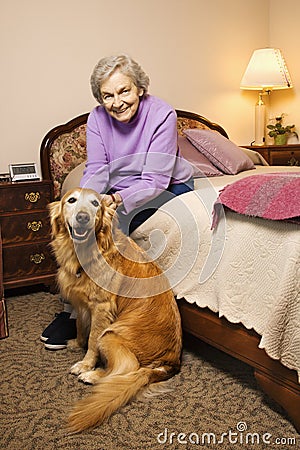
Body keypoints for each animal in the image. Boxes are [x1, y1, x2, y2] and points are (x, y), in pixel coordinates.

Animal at [48, 187, 182, 432]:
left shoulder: (102, 309)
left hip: (110, 336)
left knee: (124, 371)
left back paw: (93, 375)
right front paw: (76, 343)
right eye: (71, 200)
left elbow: (91, 341)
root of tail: (170, 363)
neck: (87, 251)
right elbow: (80, 326)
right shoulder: (81, 302)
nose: (83, 217)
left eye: (95, 203)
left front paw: (85, 364)